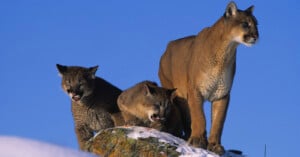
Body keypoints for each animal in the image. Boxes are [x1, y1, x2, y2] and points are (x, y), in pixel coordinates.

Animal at [158, 1, 258, 155]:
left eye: (256, 24)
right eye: (245, 24)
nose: (257, 36)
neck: (226, 52)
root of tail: (168, 46)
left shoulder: (222, 94)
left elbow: (218, 122)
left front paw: (215, 145)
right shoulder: (195, 90)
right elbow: (199, 117)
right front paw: (198, 140)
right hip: (177, 94)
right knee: (187, 117)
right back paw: (191, 136)